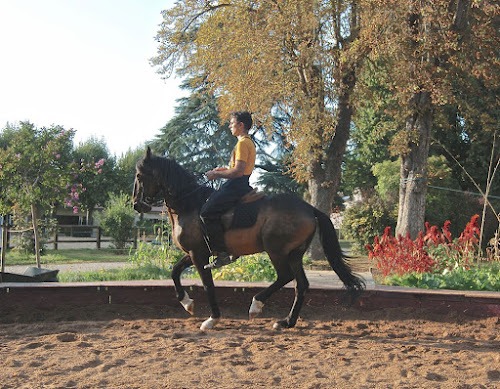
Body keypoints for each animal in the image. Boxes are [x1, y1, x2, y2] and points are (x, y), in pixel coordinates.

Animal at [133, 147, 364, 328]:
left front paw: (212, 318)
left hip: (276, 250)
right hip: (295, 254)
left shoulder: (198, 255)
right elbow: (174, 271)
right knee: (301, 285)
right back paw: (287, 322)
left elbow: (208, 285)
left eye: (139, 177)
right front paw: (186, 303)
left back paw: (256, 305)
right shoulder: (194, 253)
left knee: (285, 276)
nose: (137, 205)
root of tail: (308, 208)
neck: (190, 204)